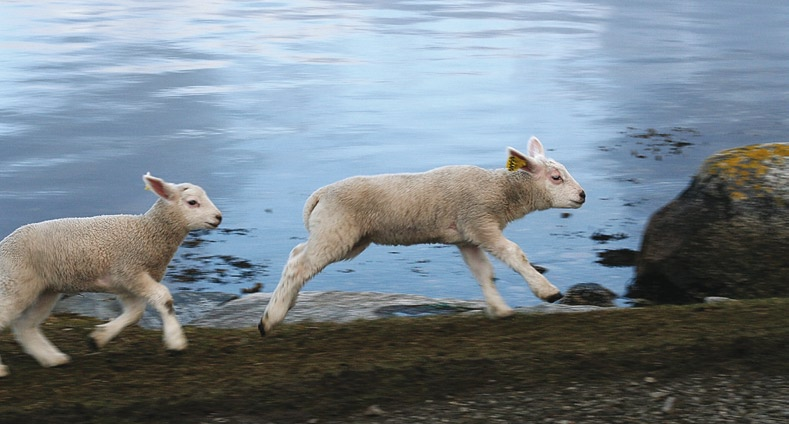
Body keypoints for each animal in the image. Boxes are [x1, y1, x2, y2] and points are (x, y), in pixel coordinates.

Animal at [0, 173, 222, 378]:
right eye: (192, 202)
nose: (218, 217)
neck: (148, 232)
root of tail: (4, 244)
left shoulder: (125, 283)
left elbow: (135, 312)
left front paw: (98, 338)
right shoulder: (130, 270)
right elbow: (163, 298)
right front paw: (176, 342)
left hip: (45, 289)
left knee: (25, 325)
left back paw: (52, 358)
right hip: (16, 281)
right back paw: (4, 368)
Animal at [258, 136, 584, 334]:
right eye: (556, 178)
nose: (582, 195)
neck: (500, 191)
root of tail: (320, 194)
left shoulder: (466, 235)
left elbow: (483, 272)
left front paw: (500, 309)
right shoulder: (480, 221)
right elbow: (515, 254)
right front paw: (547, 291)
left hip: (342, 235)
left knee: (297, 255)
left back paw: (284, 306)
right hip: (337, 231)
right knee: (299, 265)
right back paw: (270, 319)